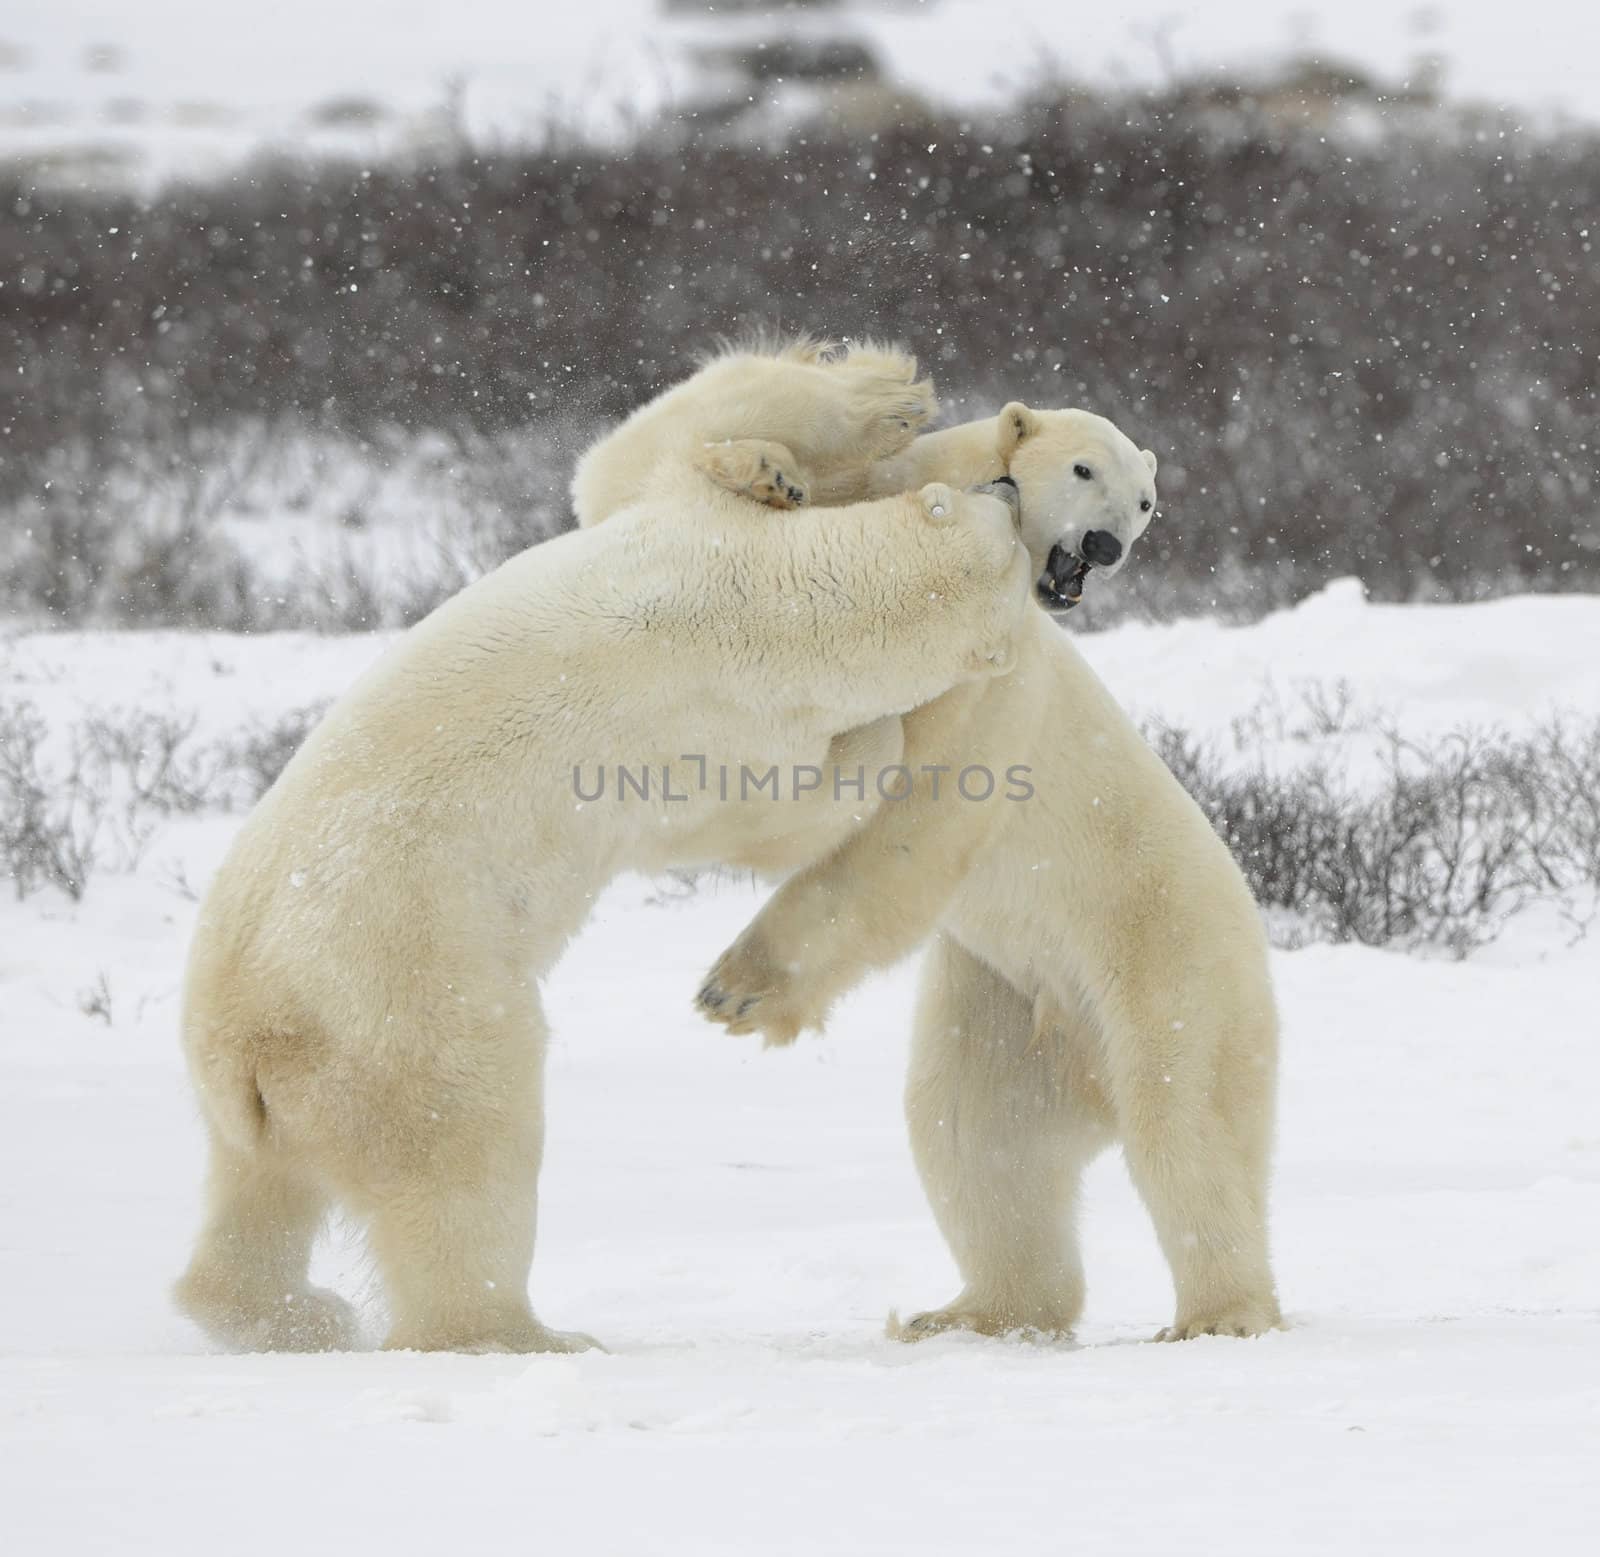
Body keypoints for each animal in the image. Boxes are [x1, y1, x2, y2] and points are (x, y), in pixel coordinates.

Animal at [172, 385, 1024, 1350]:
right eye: (985, 519)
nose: (1008, 485)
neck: (762, 608)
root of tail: (251, 1042)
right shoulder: (715, 681)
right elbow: (636, 461)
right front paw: (847, 422)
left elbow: (633, 463)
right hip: (412, 1007)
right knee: (466, 1155)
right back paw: (519, 1331)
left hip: (254, 1072)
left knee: (260, 1188)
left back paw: (282, 1312)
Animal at [691, 352, 1286, 1337]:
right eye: (1084, 470)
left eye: (1147, 500)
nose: (1106, 546)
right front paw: (763, 470)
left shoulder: (992, 691)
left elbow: (912, 825)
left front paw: (737, 989)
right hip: (1005, 1004)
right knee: (974, 1131)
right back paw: (970, 1310)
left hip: (1169, 953)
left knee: (1186, 1122)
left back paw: (1218, 1314)